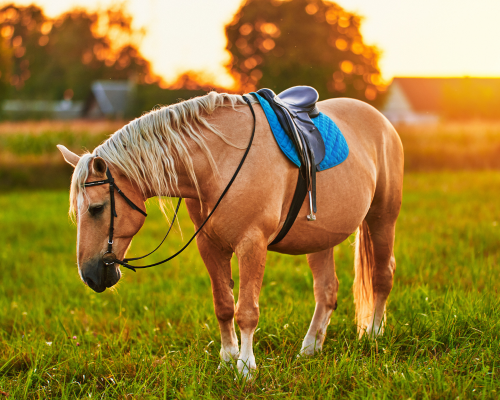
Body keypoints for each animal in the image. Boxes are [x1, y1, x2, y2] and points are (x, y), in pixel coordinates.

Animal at [57, 92, 402, 376]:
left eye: (97, 208)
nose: (90, 275)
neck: (218, 160)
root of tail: (383, 122)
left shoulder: (252, 243)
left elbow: (246, 311)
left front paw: (246, 367)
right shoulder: (210, 245)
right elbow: (223, 305)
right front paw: (227, 358)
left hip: (382, 218)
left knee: (382, 275)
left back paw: (373, 334)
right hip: (320, 239)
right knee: (327, 291)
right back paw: (310, 348)